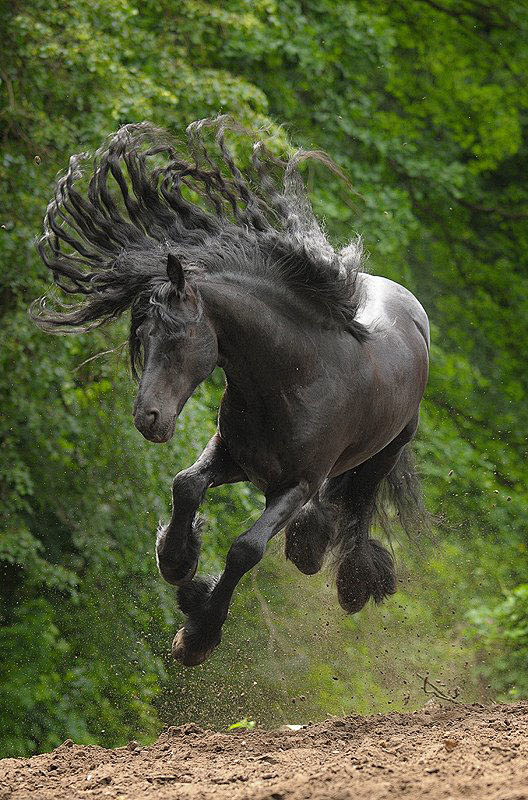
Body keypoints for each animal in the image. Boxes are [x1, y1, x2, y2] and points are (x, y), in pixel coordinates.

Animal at [32, 119, 428, 664]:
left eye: (177, 336)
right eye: (142, 336)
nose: (147, 418)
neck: (292, 381)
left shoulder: (296, 483)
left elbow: (246, 548)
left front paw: (198, 636)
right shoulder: (234, 455)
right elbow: (185, 484)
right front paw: (178, 563)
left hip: (385, 451)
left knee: (360, 507)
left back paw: (346, 576)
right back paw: (301, 548)